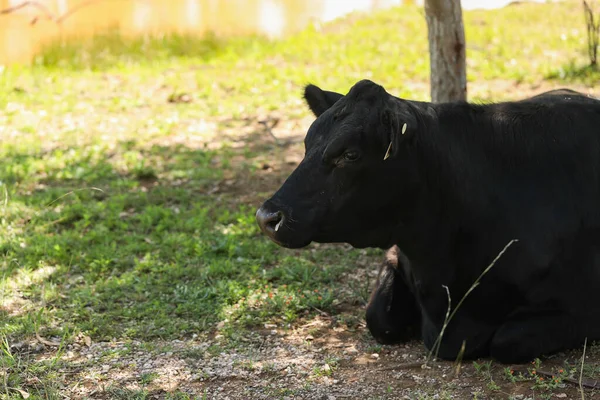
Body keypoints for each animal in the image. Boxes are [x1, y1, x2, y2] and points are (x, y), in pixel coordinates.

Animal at [255, 79, 600, 364]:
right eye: (306, 145)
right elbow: (378, 319)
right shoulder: (397, 253)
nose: (267, 216)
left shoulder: (583, 307)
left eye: (350, 155)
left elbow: (509, 341)